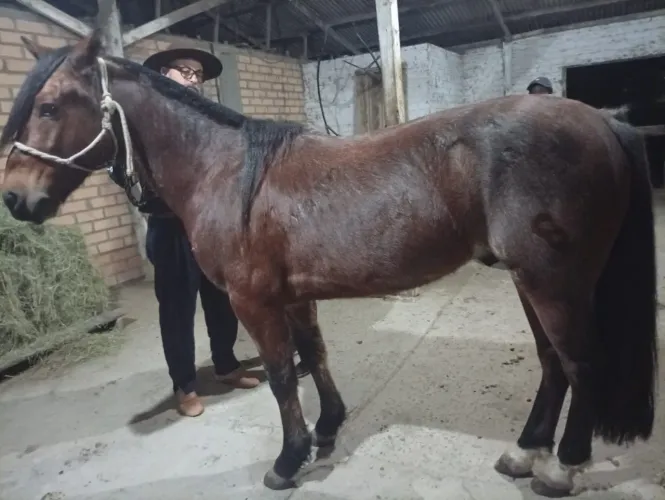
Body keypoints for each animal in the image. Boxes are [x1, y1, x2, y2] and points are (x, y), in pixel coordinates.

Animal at [0, 31, 658, 497]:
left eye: (51, 106)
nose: (14, 198)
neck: (226, 172)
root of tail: (603, 120)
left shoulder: (253, 301)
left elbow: (282, 374)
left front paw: (288, 460)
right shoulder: (294, 295)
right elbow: (313, 355)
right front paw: (328, 429)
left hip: (554, 282)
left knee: (580, 362)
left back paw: (561, 469)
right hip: (530, 280)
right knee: (552, 364)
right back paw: (524, 453)